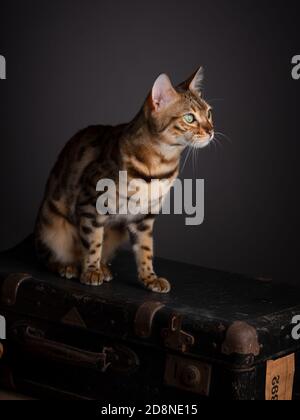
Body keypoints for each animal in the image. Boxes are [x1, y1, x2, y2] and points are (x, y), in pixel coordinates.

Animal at [35, 68, 213, 292]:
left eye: (209, 113)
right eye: (189, 118)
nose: (211, 130)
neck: (159, 165)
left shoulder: (144, 217)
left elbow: (145, 249)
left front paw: (150, 278)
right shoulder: (90, 203)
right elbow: (92, 242)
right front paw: (91, 270)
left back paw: (104, 268)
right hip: (51, 227)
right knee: (47, 256)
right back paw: (68, 266)